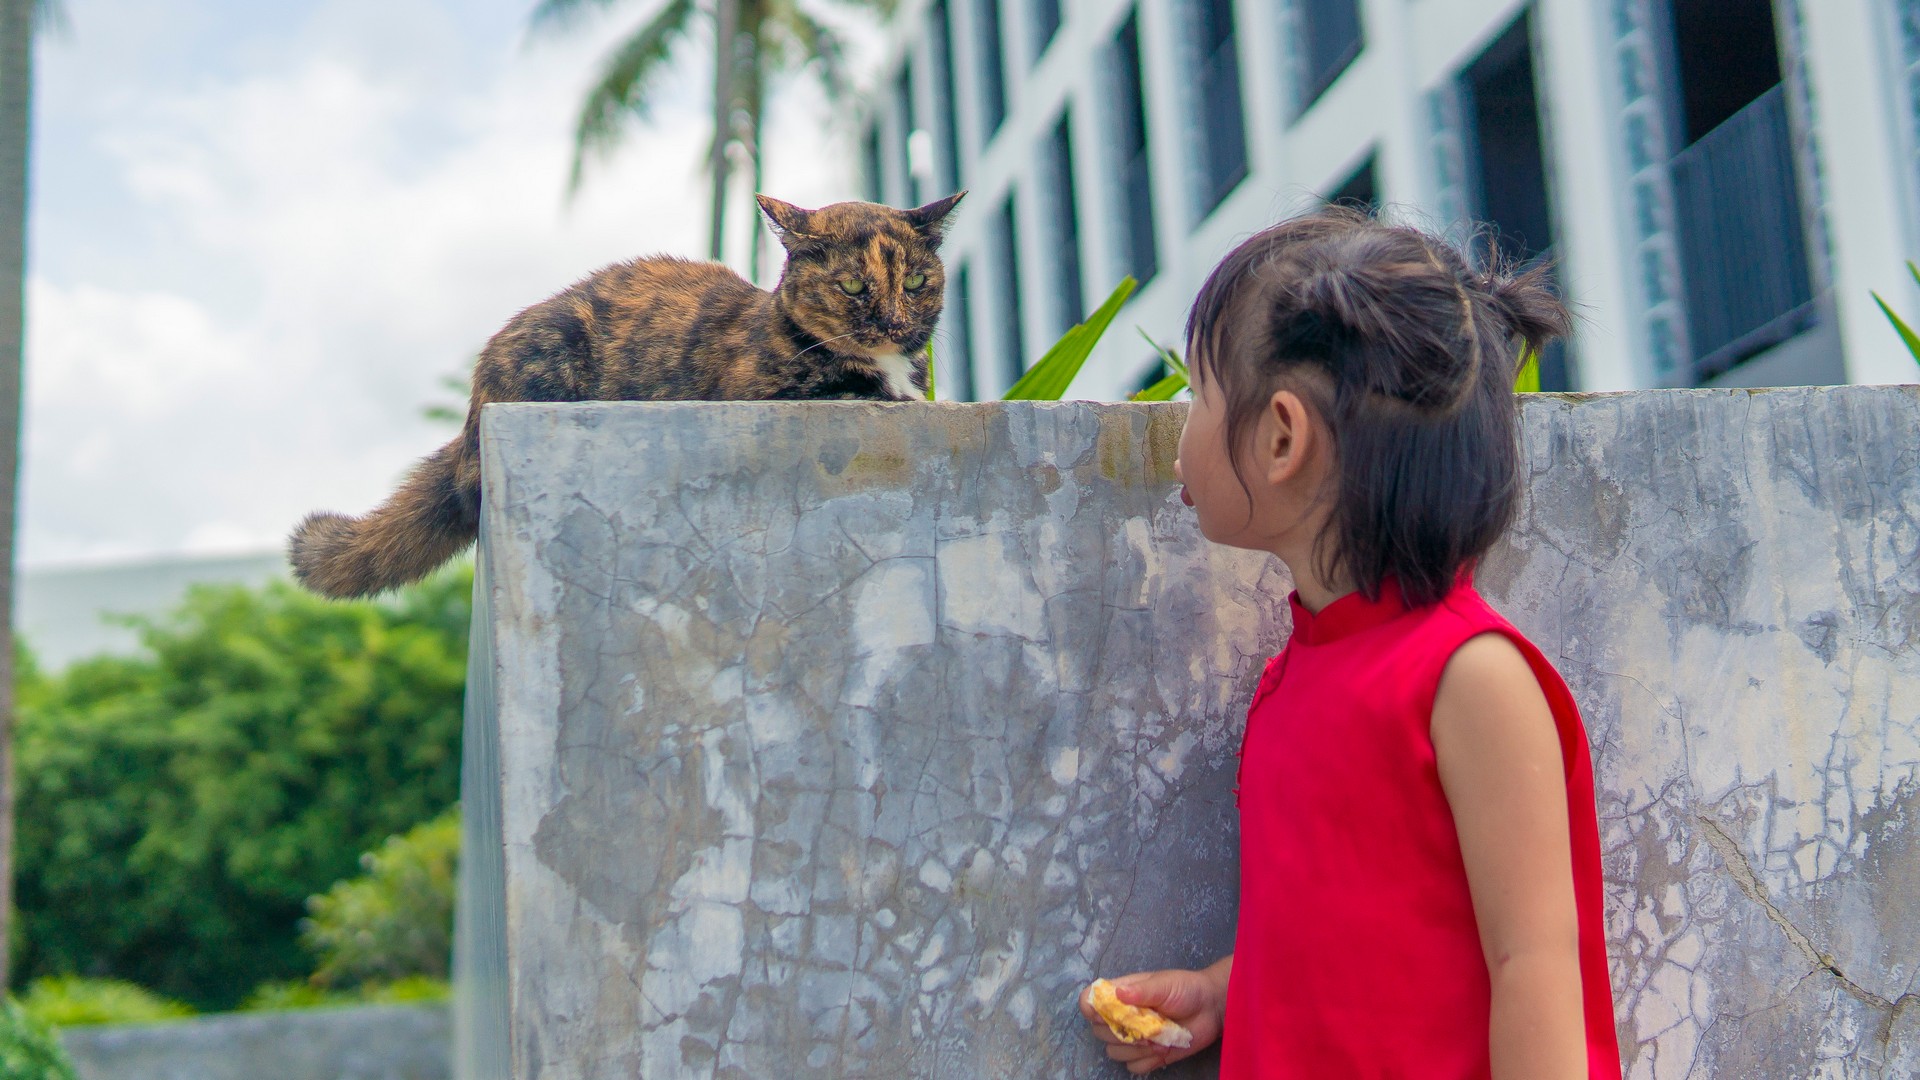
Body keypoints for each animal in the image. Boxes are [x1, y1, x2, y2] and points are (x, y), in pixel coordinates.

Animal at [288, 191, 960, 595]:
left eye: (917, 281)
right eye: (852, 286)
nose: (897, 323)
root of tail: (470, 424)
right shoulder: (754, 393)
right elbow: (849, 394)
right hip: (545, 355)